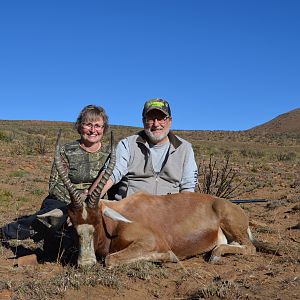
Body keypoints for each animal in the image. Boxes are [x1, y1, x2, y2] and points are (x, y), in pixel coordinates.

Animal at [55, 131, 276, 268]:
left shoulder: (149, 241)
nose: (85, 264)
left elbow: (111, 260)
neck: (116, 222)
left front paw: (169, 256)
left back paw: (215, 254)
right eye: (73, 223)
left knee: (250, 247)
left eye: (96, 221)